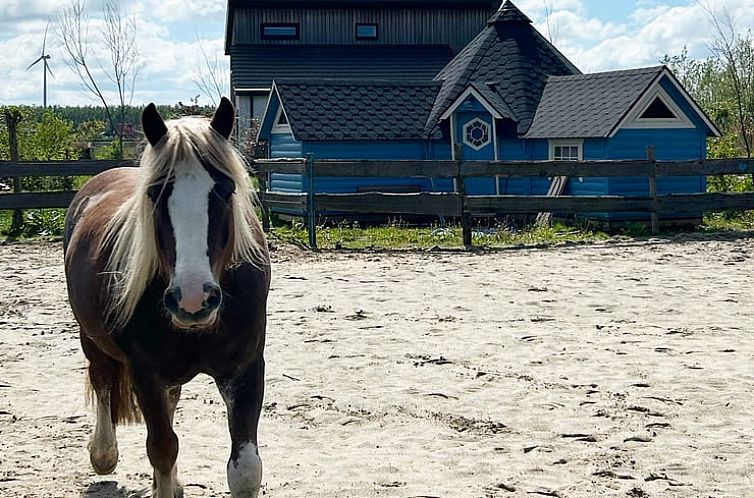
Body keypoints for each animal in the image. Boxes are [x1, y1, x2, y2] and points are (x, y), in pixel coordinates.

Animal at [63, 98, 270, 498]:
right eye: (154, 194)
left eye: (225, 190)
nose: (193, 299)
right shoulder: (146, 374)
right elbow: (161, 447)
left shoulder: (246, 369)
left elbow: (245, 471)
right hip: (92, 341)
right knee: (102, 381)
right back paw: (103, 452)